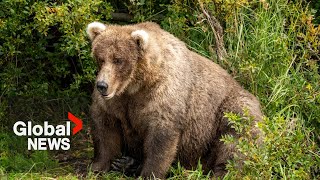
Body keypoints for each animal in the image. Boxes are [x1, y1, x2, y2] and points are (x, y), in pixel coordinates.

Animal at [85, 21, 262, 179]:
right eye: (100, 58)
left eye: (118, 59)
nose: (102, 85)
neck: (136, 85)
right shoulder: (116, 102)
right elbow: (105, 129)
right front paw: (98, 167)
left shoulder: (163, 95)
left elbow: (161, 138)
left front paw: (149, 174)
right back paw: (127, 163)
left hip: (229, 111)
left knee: (236, 140)